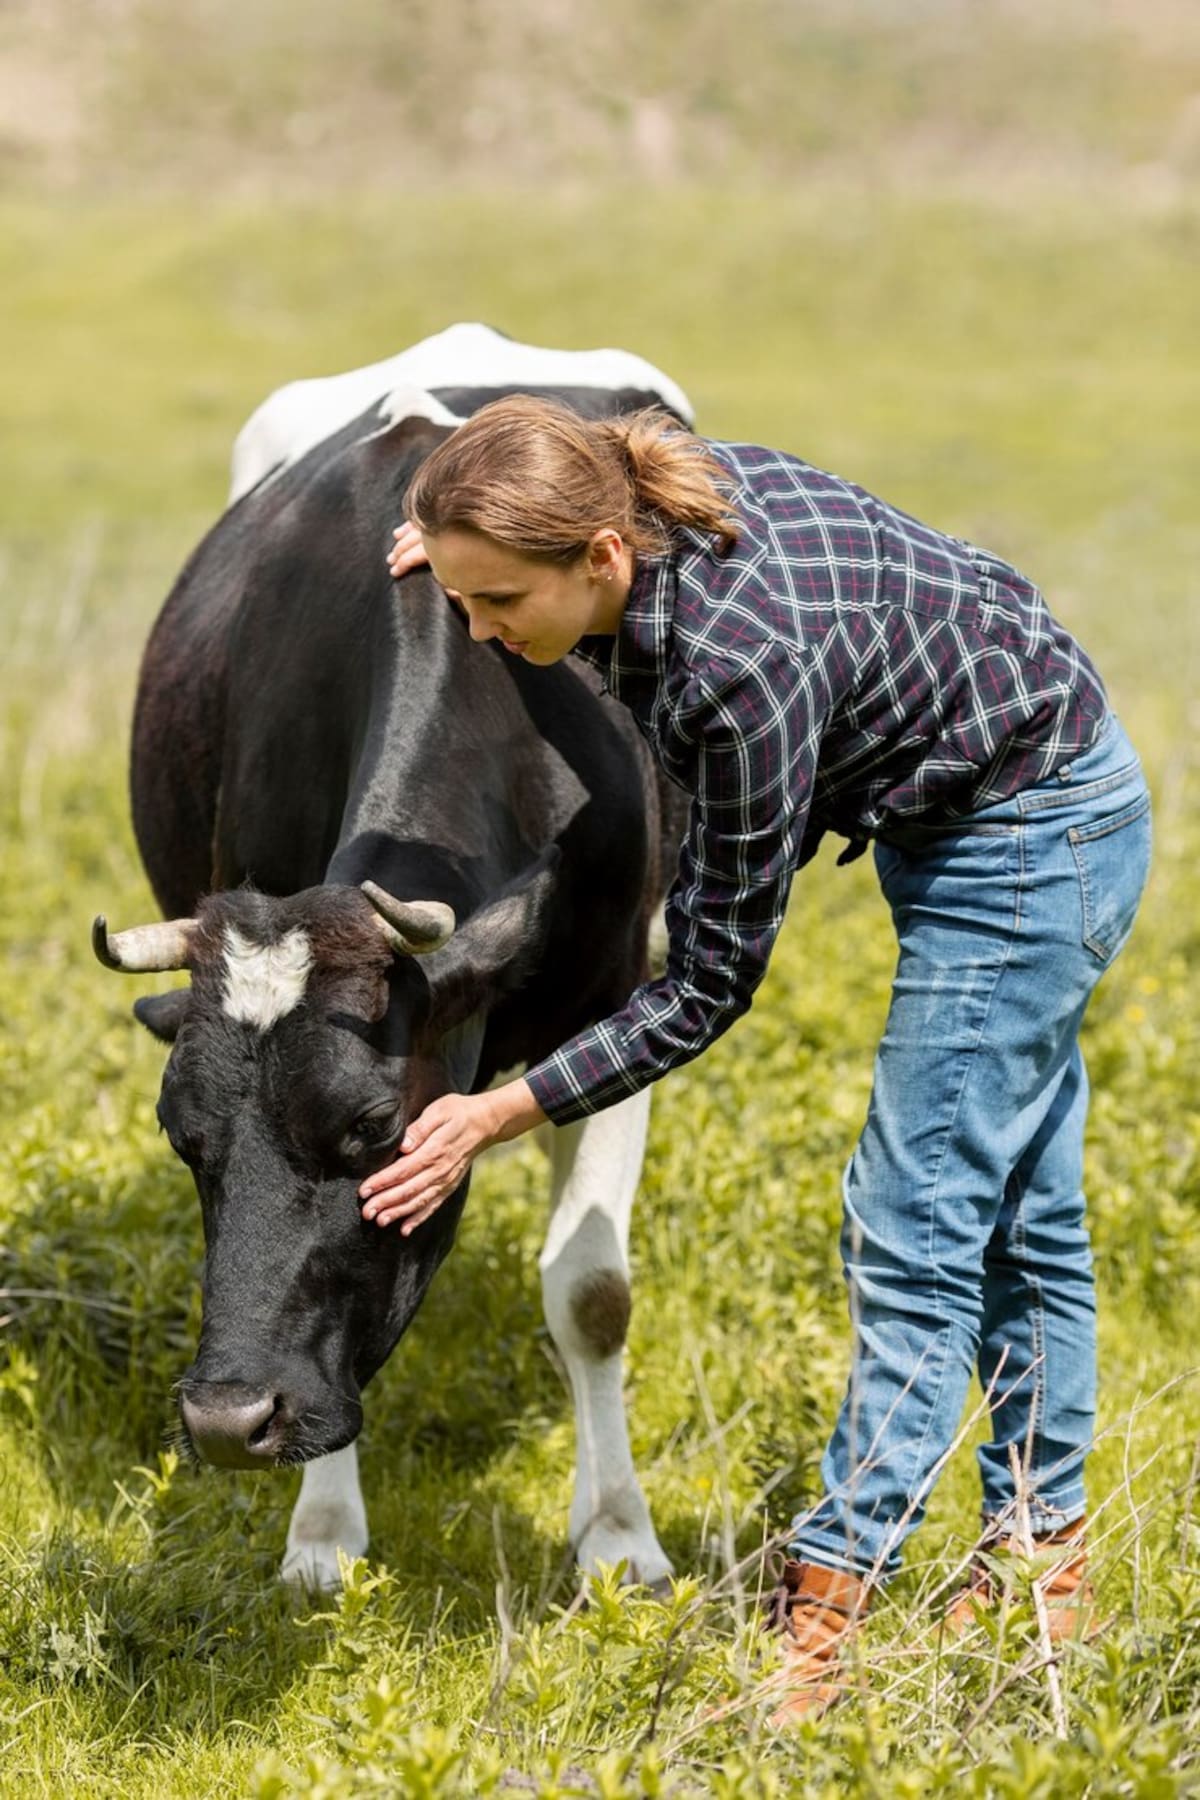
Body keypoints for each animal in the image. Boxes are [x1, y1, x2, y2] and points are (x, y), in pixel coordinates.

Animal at [93, 330, 691, 1592]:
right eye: (182, 1136)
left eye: (371, 1129)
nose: (228, 1420)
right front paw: (321, 1532)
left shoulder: (625, 1002)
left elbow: (594, 1290)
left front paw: (619, 1537)